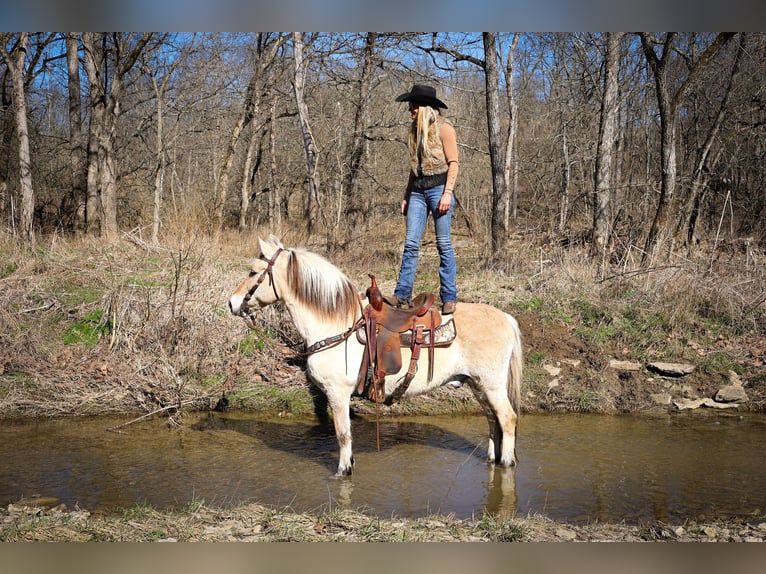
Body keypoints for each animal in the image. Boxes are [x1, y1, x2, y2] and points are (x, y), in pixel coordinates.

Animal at [228, 236, 524, 480]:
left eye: (253, 271)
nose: (232, 303)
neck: (337, 324)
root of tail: (506, 318)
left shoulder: (337, 393)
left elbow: (343, 434)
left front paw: (342, 471)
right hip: (478, 385)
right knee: (492, 419)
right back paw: (492, 459)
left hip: (492, 385)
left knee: (507, 419)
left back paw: (507, 462)